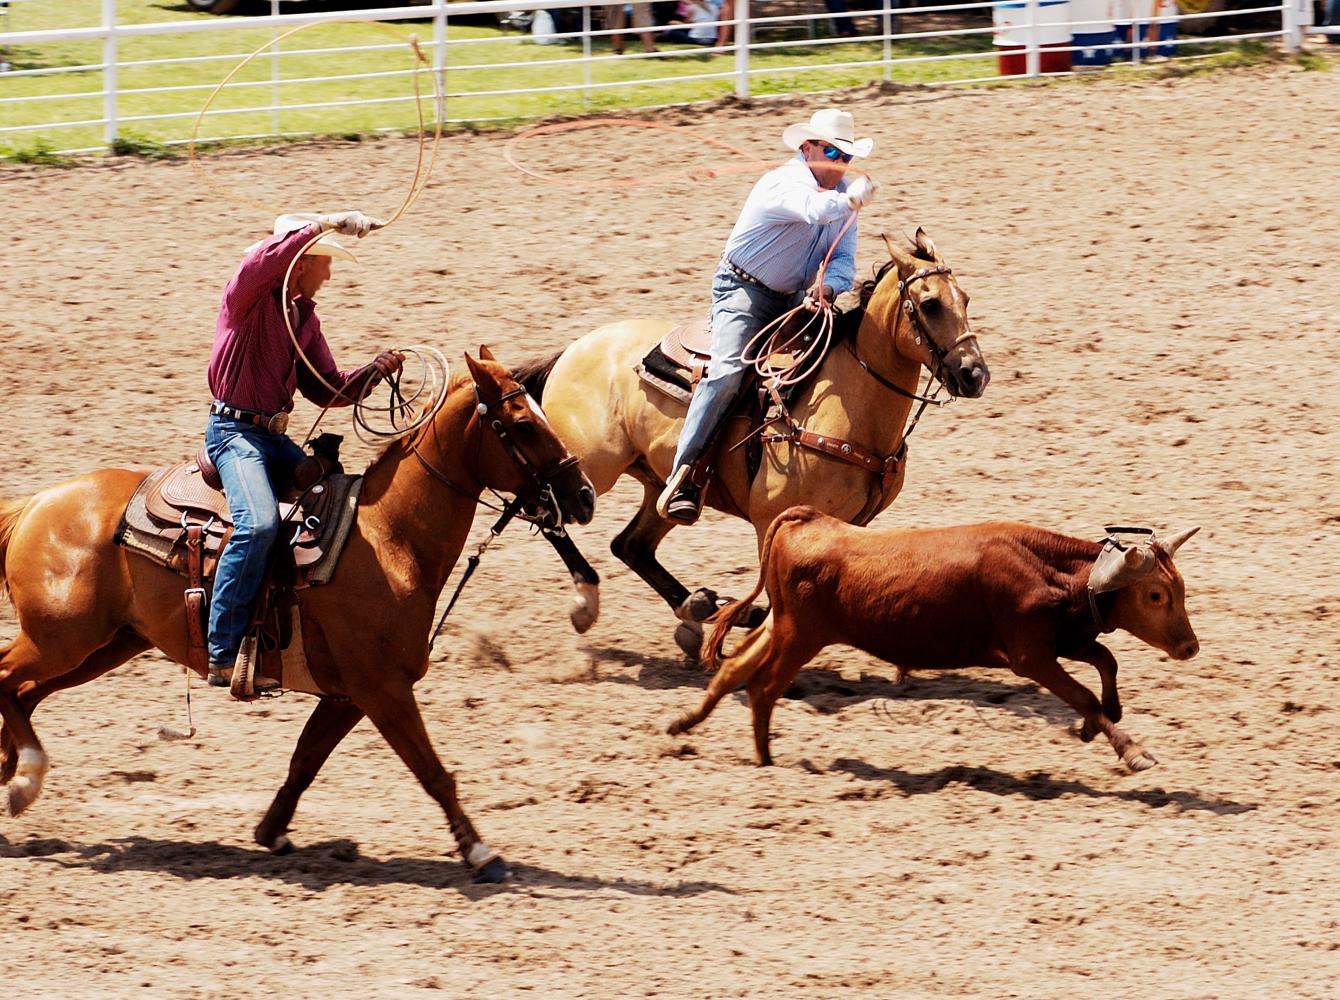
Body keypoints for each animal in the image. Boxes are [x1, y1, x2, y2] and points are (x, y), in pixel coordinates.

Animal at [0, 348, 592, 879]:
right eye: (523, 424)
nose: (583, 496)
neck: (389, 536)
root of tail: (37, 502)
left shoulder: (351, 695)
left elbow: (305, 759)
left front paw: (272, 832)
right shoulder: (383, 689)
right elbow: (433, 772)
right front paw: (482, 854)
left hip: (106, 645)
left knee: (23, 693)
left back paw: (11, 781)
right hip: (62, 640)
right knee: (9, 681)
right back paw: (25, 777)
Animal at [517, 230, 991, 659]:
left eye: (966, 299)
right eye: (930, 304)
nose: (975, 374)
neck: (848, 407)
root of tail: (573, 349)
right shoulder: (770, 519)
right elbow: (774, 601)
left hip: (659, 487)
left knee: (631, 545)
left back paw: (695, 610)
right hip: (587, 471)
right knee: (542, 508)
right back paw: (589, 601)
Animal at [670, 506, 1206, 772]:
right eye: (1156, 594)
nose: (1190, 647)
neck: (1045, 567)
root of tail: (810, 519)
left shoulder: (1063, 641)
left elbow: (1105, 662)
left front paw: (1101, 723)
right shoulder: (1031, 656)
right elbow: (1084, 695)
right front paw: (1131, 750)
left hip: (781, 624)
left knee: (734, 668)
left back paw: (685, 724)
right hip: (801, 634)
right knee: (762, 687)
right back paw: (765, 760)